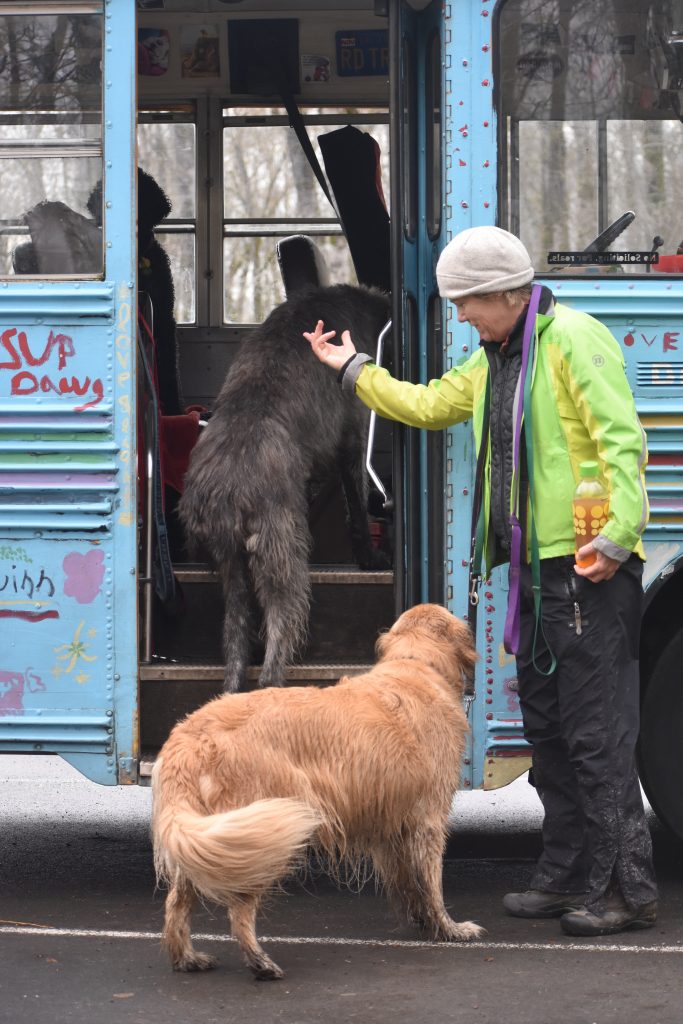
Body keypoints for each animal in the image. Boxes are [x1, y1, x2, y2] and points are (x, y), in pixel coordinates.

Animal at [180, 284, 389, 692]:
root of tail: (227, 490)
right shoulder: (352, 435)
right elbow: (355, 504)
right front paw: (370, 556)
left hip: (229, 560)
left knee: (235, 630)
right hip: (280, 549)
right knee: (281, 625)